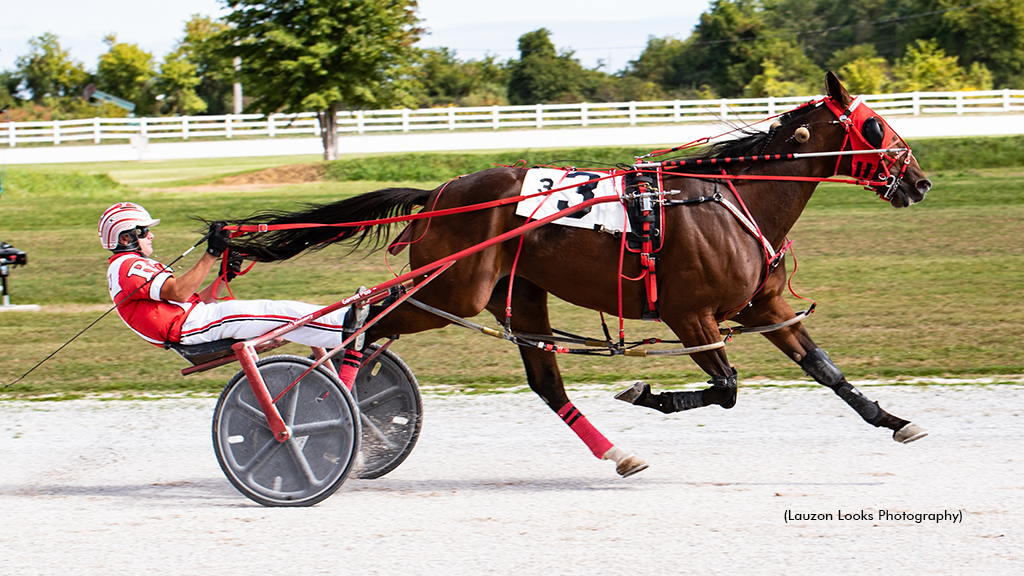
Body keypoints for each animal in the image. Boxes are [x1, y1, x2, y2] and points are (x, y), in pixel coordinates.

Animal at [228, 71, 933, 475]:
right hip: (453, 290)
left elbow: (826, 369)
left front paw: (895, 420)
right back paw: (321, 414)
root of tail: (439, 194)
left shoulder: (763, 308)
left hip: (516, 293)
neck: (734, 201)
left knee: (540, 380)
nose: (920, 182)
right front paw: (647, 393)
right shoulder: (691, 315)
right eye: (875, 125)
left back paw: (617, 453)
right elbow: (727, 387)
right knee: (365, 321)